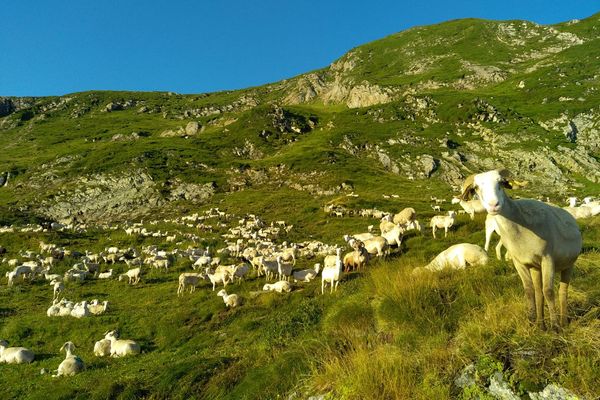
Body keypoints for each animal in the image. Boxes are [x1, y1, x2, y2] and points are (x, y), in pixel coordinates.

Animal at [460, 170, 580, 330]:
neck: (520, 224)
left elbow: (549, 291)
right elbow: (529, 291)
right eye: (476, 188)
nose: (493, 205)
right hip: (536, 268)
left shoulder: (548, 259)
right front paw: (532, 321)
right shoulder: (519, 263)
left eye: (501, 182)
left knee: (562, 291)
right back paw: (541, 324)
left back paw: (563, 322)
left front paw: (555, 327)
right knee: (538, 291)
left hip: (568, 264)